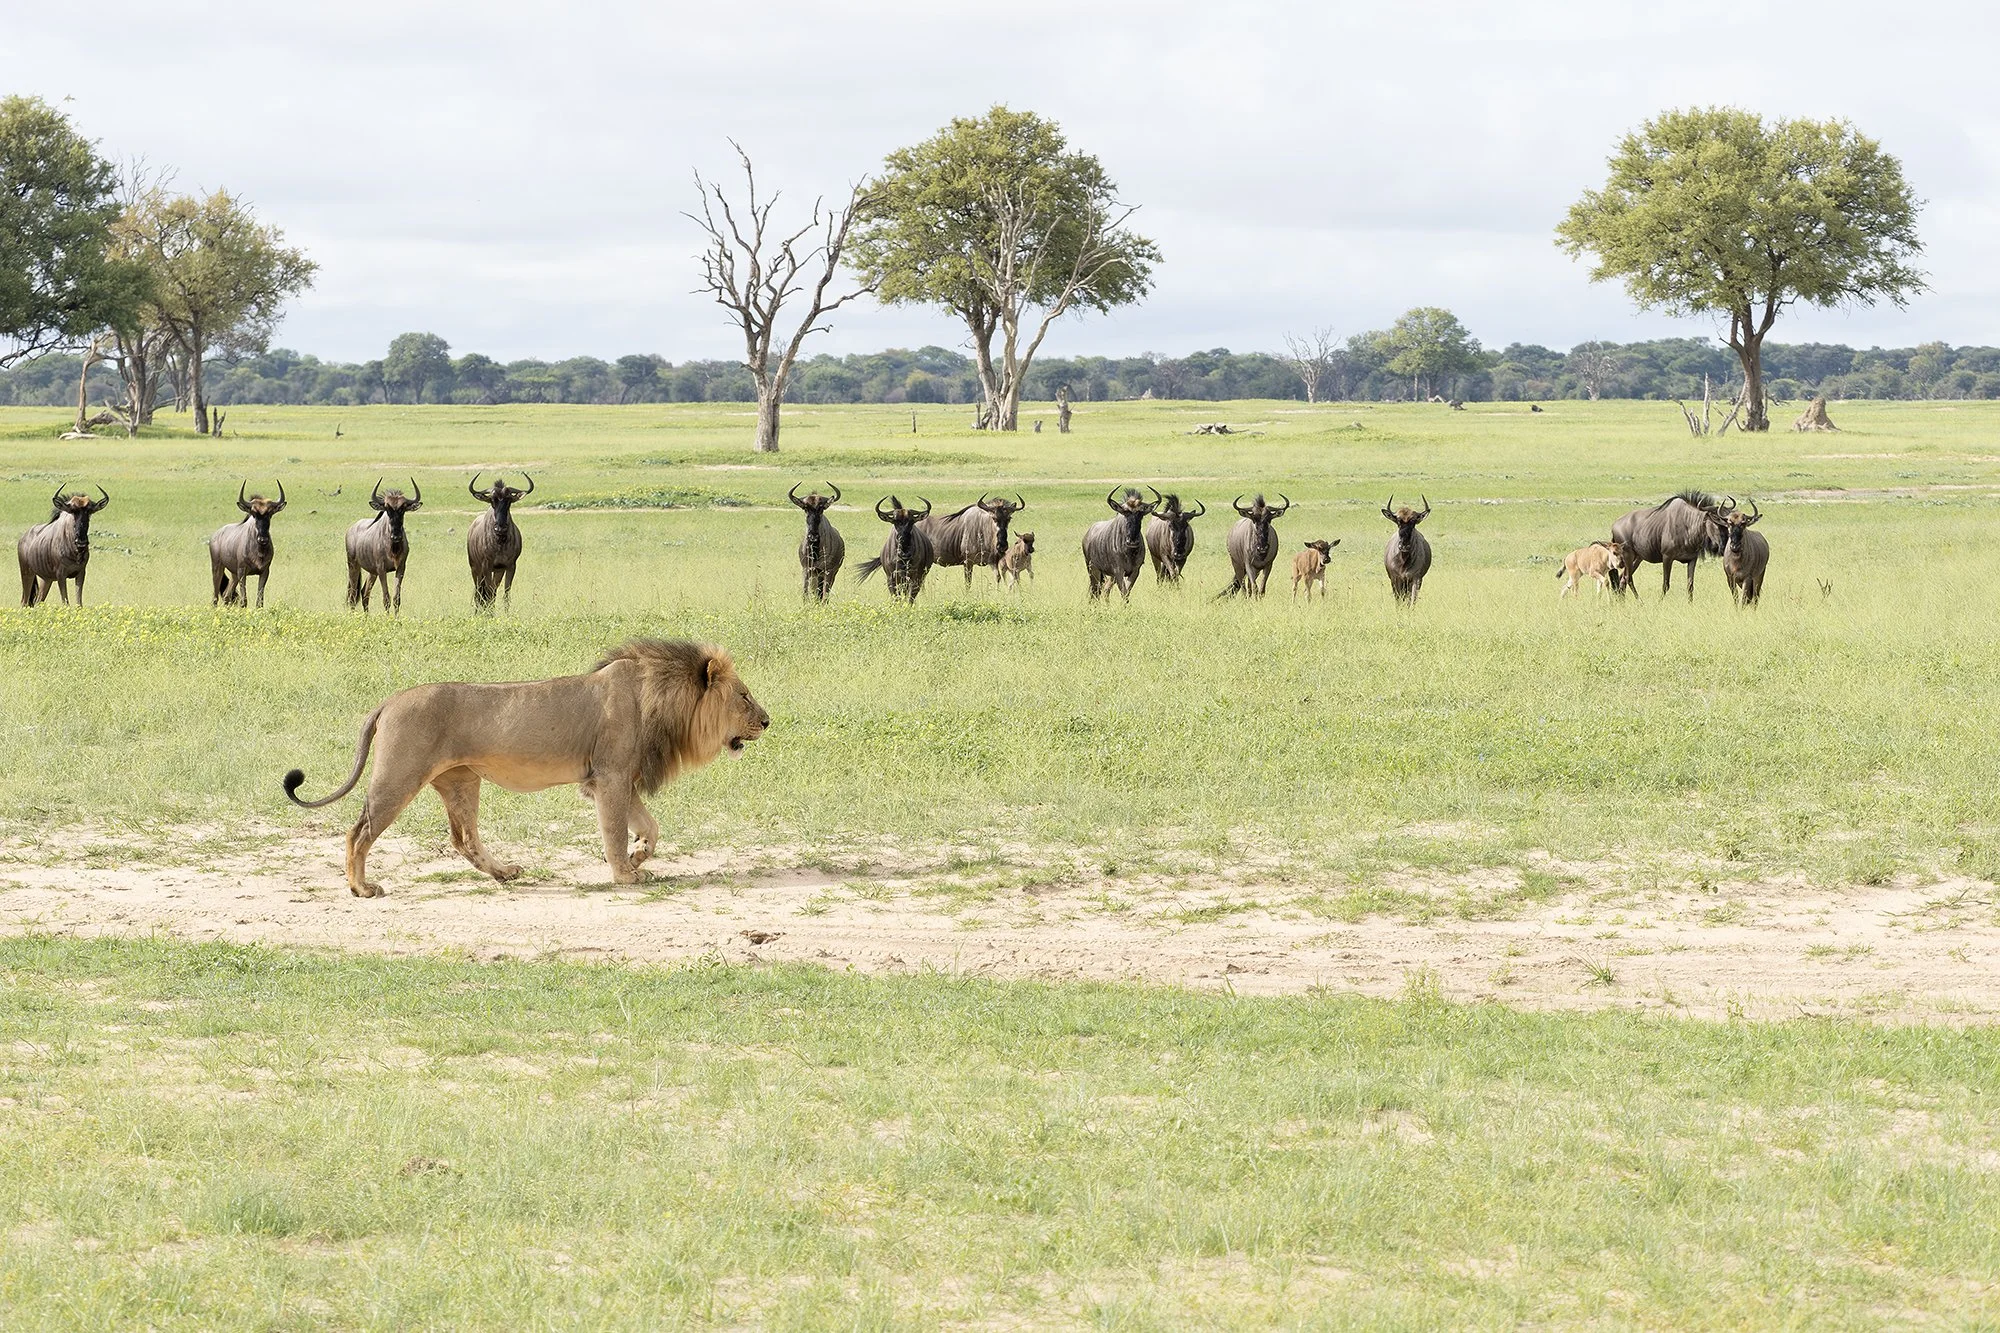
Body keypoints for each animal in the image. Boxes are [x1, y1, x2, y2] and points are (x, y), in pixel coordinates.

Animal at [283, 639, 769, 897]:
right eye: (744, 696)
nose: (768, 720)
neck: (659, 699)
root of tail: (388, 701)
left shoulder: (615, 780)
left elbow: (650, 827)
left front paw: (638, 857)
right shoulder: (609, 778)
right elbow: (614, 831)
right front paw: (624, 875)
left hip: (461, 781)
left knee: (464, 839)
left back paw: (505, 873)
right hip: (398, 777)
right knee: (359, 832)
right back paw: (361, 889)